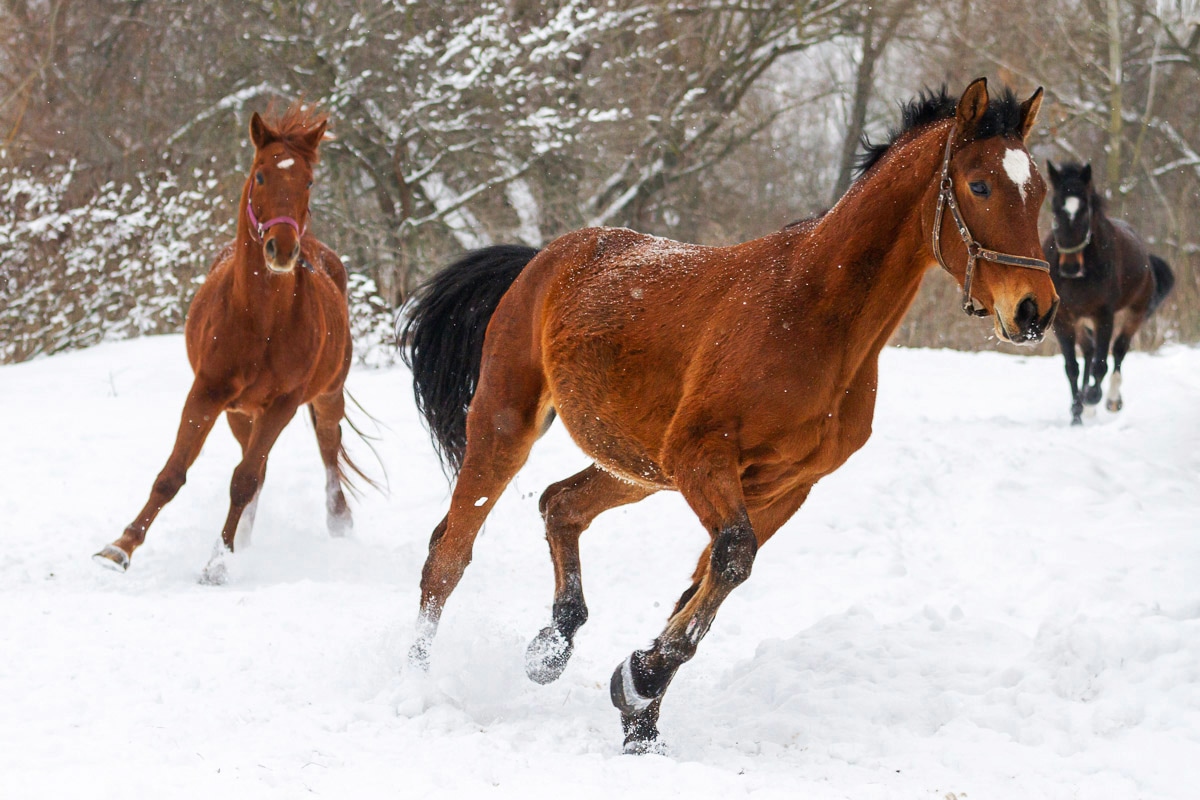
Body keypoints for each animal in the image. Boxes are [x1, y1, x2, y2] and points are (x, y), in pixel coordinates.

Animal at [94, 104, 360, 582]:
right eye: (261, 174)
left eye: (308, 181)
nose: (281, 249)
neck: (261, 321)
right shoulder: (207, 392)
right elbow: (172, 474)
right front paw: (120, 547)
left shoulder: (283, 404)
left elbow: (243, 480)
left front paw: (217, 562)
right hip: (240, 413)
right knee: (260, 463)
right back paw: (248, 536)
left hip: (327, 395)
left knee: (327, 449)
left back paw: (337, 521)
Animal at [405, 81, 1060, 753]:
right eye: (979, 185)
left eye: (1038, 190)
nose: (1034, 310)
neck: (813, 315)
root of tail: (541, 260)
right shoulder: (703, 460)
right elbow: (731, 559)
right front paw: (639, 684)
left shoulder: (783, 487)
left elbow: (704, 583)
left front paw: (639, 713)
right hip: (507, 425)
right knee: (448, 553)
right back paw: (419, 684)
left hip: (637, 468)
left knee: (559, 505)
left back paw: (551, 648)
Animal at [1046, 160, 1176, 424]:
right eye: (1055, 209)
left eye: (1085, 210)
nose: (1070, 267)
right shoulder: (1063, 319)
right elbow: (1071, 367)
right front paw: (1077, 414)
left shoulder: (1103, 314)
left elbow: (1101, 364)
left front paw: (1092, 397)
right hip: (1081, 321)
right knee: (1089, 350)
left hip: (1134, 312)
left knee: (1118, 350)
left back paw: (1111, 400)